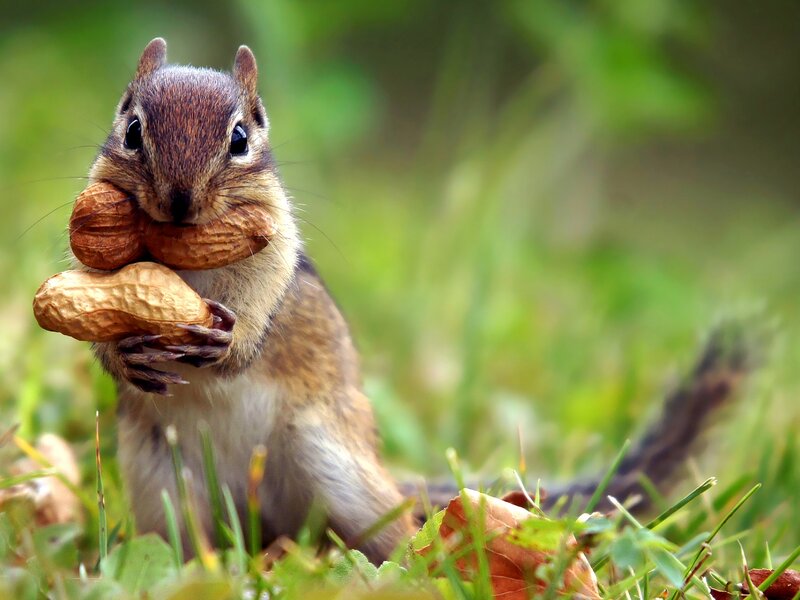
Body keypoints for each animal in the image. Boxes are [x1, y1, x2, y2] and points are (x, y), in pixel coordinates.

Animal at [77, 38, 759, 564]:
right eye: (132, 129)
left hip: (339, 471)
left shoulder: (275, 255)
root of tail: (260, 520)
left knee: (394, 535)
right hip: (163, 489)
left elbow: (259, 310)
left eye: (242, 136)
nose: (179, 202)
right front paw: (124, 354)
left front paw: (230, 343)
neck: (185, 260)